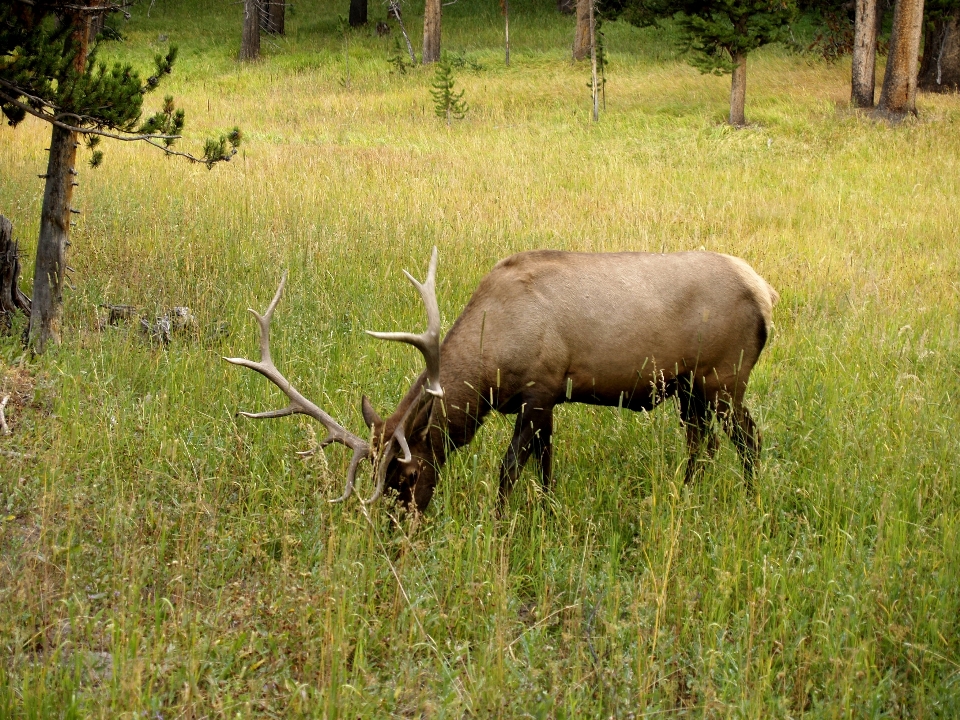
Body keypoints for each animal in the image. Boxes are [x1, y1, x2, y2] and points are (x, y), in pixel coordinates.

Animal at [227, 248, 780, 512]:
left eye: (408, 475)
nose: (397, 528)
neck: (489, 365)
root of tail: (766, 293)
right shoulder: (549, 399)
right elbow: (546, 467)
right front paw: (550, 513)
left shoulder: (538, 391)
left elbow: (509, 471)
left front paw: (498, 524)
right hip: (690, 388)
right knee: (702, 443)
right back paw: (686, 495)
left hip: (725, 378)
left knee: (747, 439)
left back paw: (752, 499)